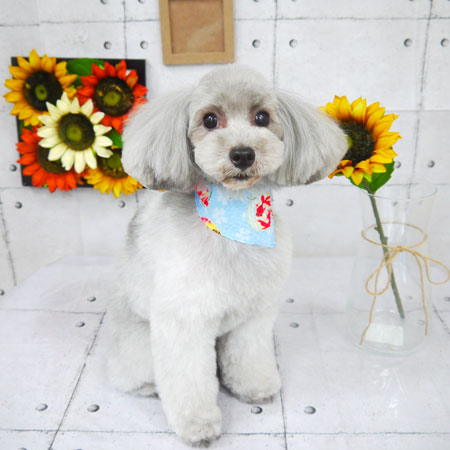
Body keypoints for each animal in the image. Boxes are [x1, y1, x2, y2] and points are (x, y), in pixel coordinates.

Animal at [107, 65, 347, 446]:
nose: (243, 154)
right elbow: (189, 380)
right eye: (209, 120)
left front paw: (255, 387)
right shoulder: (183, 320)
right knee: (130, 376)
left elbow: (248, 355)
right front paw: (197, 425)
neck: (234, 221)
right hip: (140, 346)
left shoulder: (254, 315)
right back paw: (148, 386)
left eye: (262, 118)